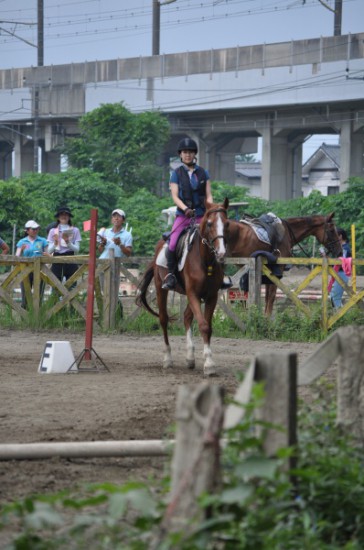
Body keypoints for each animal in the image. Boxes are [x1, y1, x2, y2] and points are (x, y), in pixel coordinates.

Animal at [137, 201, 230, 378]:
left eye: (227, 224)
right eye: (209, 224)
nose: (221, 253)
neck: (205, 260)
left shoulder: (211, 296)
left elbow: (207, 327)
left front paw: (208, 362)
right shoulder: (193, 294)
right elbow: (203, 326)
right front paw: (209, 364)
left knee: (187, 316)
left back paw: (190, 358)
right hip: (161, 289)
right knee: (164, 319)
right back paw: (168, 359)